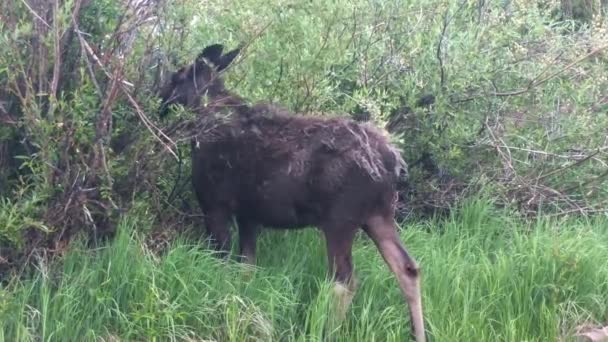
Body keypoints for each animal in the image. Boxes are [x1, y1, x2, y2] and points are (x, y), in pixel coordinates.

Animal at [162, 44, 428, 340]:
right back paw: (419, 334)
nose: (160, 98)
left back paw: (328, 331)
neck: (200, 120)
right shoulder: (248, 216)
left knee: (345, 280)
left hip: (340, 222)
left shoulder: (215, 207)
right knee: (407, 268)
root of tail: (395, 163)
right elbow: (246, 270)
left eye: (177, 76)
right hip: (378, 216)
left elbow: (222, 268)